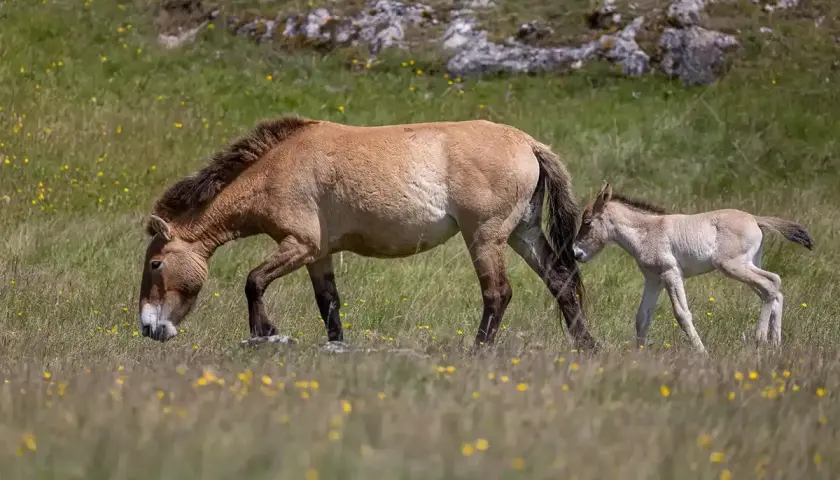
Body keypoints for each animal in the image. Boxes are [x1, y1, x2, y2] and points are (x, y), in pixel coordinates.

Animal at [137, 115, 599, 351]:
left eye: (156, 263)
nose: (148, 327)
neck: (276, 169)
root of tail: (529, 144)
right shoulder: (317, 254)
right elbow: (328, 304)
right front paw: (336, 347)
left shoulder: (298, 245)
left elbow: (253, 281)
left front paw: (264, 332)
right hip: (522, 233)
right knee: (559, 281)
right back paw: (587, 346)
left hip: (485, 238)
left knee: (498, 293)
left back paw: (478, 352)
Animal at [572, 182, 814, 353]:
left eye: (587, 222)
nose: (576, 253)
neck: (648, 230)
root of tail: (755, 218)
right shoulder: (653, 279)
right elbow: (642, 317)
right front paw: (639, 356)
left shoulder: (671, 273)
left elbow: (682, 314)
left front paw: (702, 352)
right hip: (748, 265)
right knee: (773, 291)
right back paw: (775, 346)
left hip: (733, 266)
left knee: (772, 282)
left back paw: (760, 340)